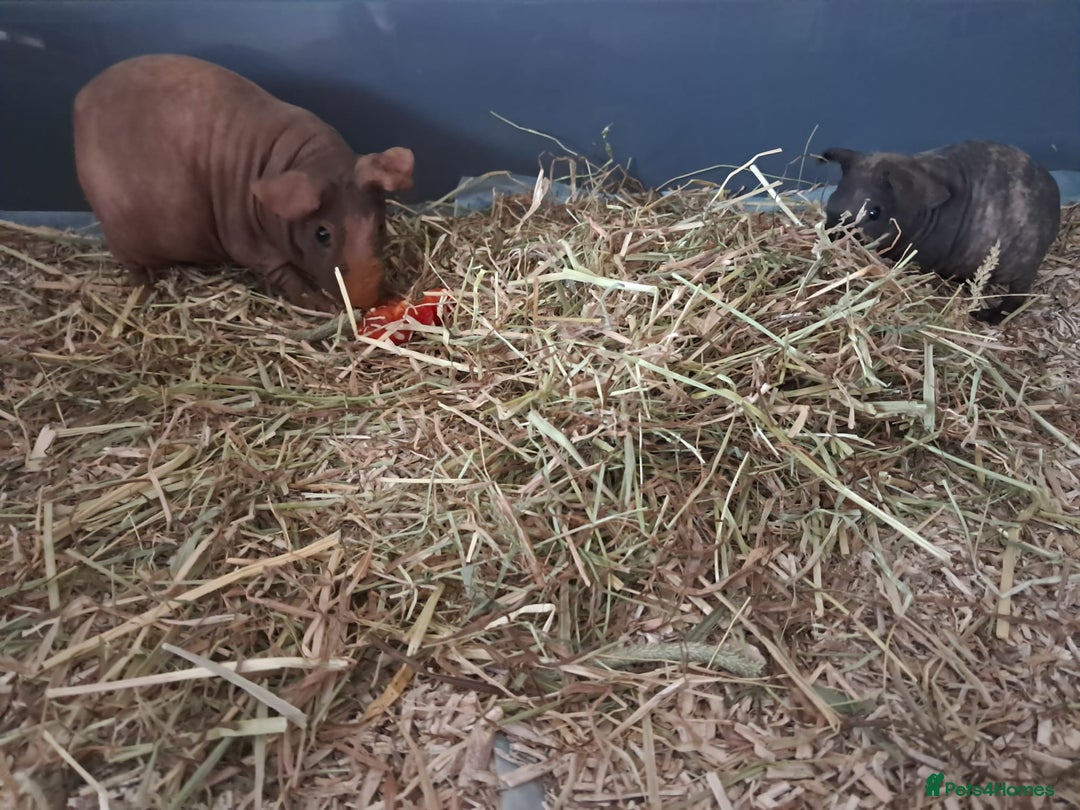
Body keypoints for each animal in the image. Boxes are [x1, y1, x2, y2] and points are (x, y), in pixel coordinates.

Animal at [73, 53, 415, 311]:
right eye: (322, 234)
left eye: (380, 226)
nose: (365, 301)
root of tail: (80, 98)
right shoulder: (249, 245)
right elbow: (285, 275)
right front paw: (320, 304)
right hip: (123, 240)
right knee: (134, 268)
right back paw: (144, 293)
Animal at [821, 141, 1060, 324]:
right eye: (834, 195)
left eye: (874, 212)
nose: (833, 235)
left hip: (1022, 274)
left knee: (1016, 299)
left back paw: (986, 315)